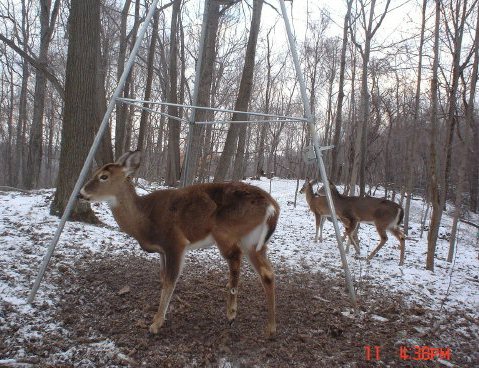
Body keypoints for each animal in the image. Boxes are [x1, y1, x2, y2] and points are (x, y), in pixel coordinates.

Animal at [79, 151, 282, 338]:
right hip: (253, 241)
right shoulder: (162, 250)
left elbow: (171, 280)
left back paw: (231, 313)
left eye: (104, 176)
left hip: (226, 232)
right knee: (267, 273)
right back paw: (270, 328)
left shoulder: (175, 242)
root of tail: (272, 207)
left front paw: (156, 323)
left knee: (235, 260)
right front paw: (164, 314)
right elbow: (163, 278)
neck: (144, 220)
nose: (81, 193)